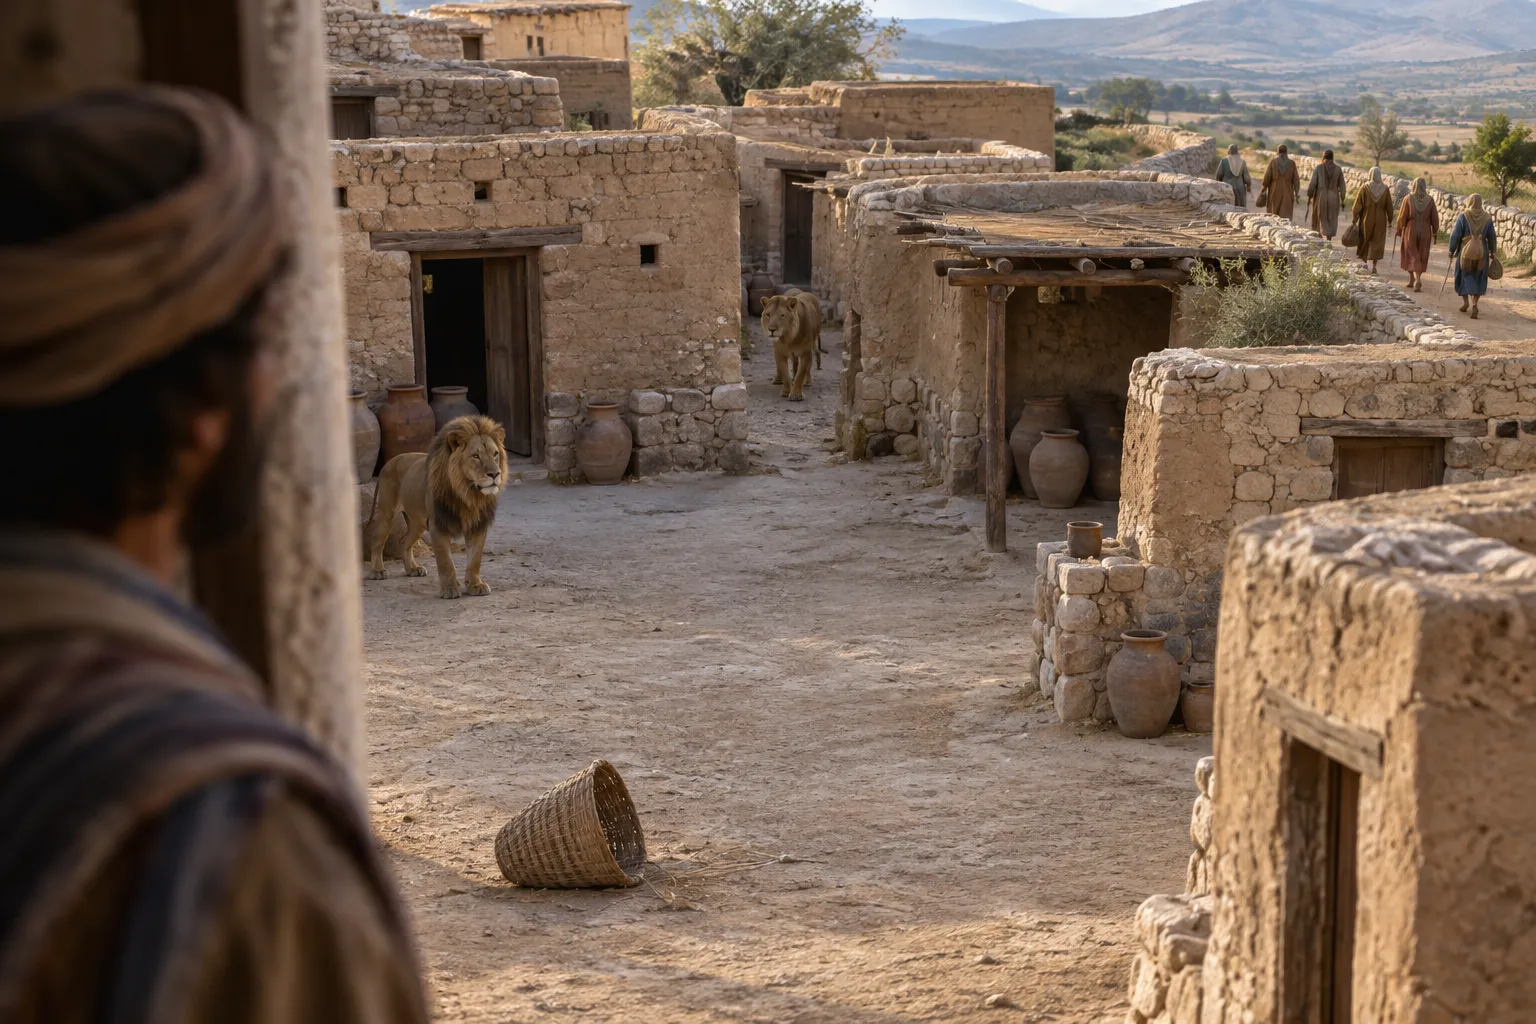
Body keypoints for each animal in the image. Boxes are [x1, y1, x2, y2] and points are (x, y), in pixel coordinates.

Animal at [366, 414, 508, 599]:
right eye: (476, 456)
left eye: (495, 454)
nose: (495, 474)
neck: (468, 494)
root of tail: (388, 462)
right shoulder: (438, 525)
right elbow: (445, 561)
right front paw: (449, 588)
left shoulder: (478, 526)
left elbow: (475, 559)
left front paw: (476, 585)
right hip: (387, 513)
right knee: (377, 541)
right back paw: (377, 571)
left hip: (417, 522)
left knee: (404, 541)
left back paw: (413, 569)